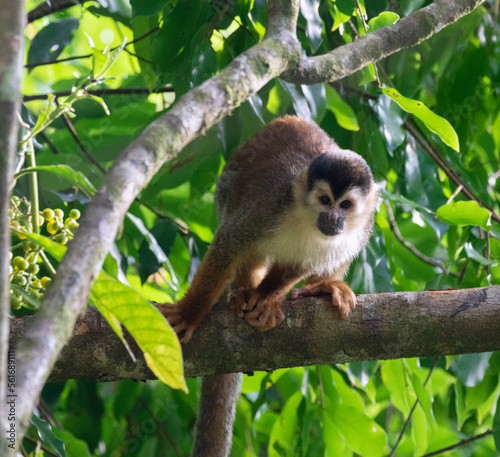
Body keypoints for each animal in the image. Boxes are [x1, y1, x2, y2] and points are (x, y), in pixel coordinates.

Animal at [160, 114, 376, 342]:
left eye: (345, 205)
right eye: (325, 200)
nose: (333, 218)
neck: (306, 219)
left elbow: (297, 266)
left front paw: (265, 297)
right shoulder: (271, 204)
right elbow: (229, 242)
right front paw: (189, 313)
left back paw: (321, 287)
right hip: (227, 187)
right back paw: (242, 292)